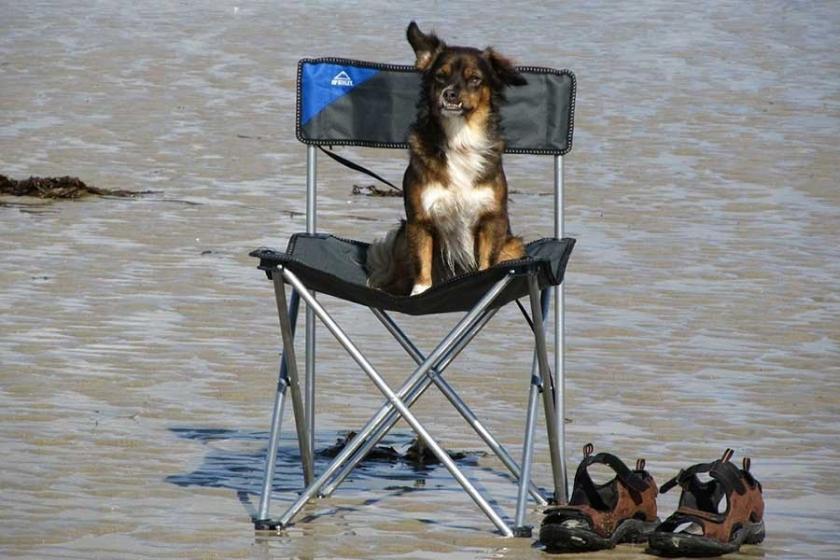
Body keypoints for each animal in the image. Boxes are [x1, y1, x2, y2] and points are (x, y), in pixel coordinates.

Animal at [366, 20, 524, 298]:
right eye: (441, 76)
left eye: (475, 79)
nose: (450, 94)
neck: (459, 138)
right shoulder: (419, 220)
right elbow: (422, 265)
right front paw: (418, 293)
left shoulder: (492, 220)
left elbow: (486, 263)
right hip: (400, 239)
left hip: (513, 245)